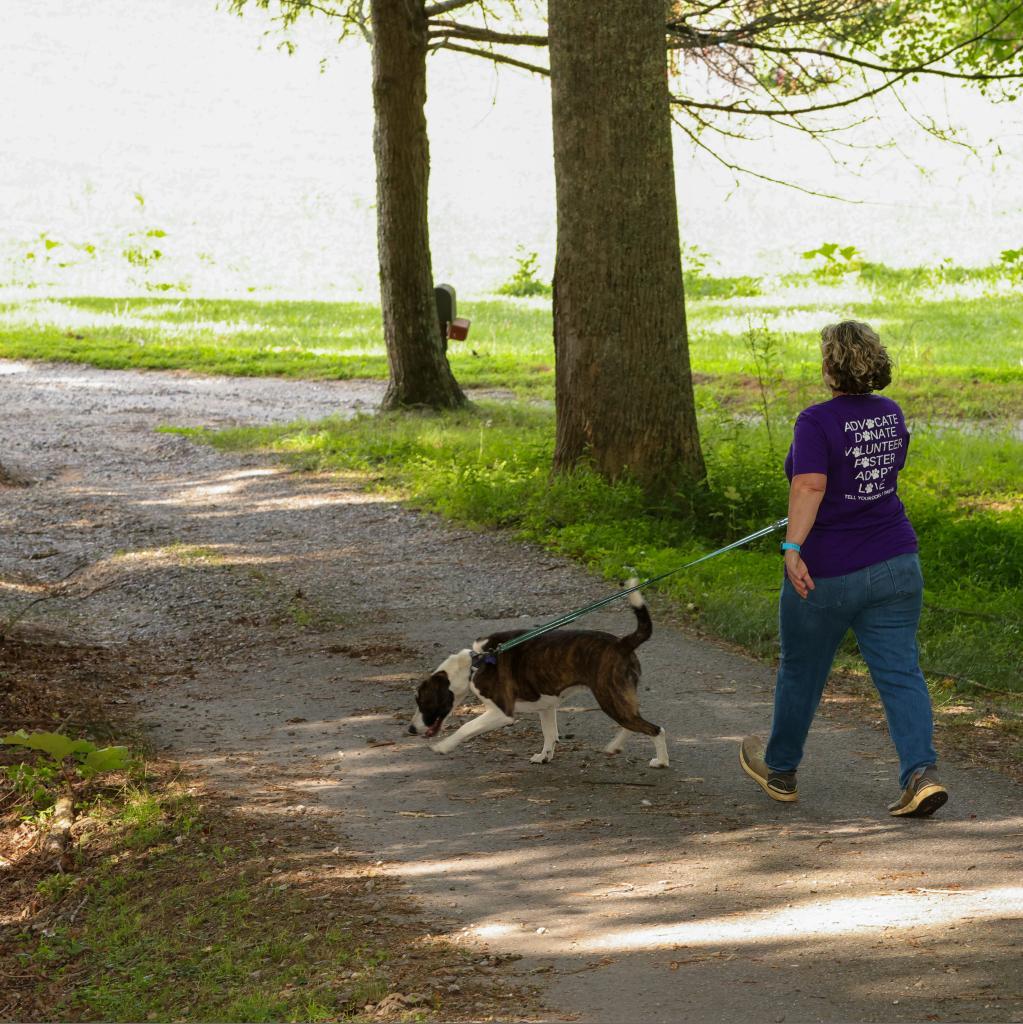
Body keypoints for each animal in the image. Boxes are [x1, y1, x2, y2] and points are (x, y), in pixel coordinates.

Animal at [407, 585, 671, 770]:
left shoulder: (502, 713)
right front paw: (545, 756)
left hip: (609, 696)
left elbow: (466, 727)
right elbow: (550, 734)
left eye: (424, 702)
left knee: (655, 729)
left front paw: (443, 746)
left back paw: (661, 761)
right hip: (617, 698)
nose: (410, 729)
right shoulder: (546, 706)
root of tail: (622, 643)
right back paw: (615, 747)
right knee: (632, 721)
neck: (474, 664)